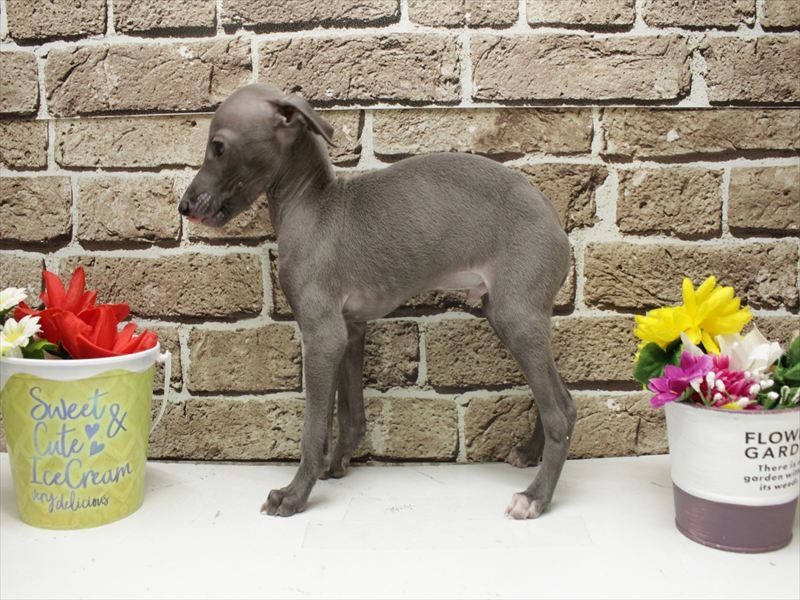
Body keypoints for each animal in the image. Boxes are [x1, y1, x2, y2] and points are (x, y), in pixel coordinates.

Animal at [179, 83, 575, 519]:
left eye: (218, 147)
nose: (184, 206)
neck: (313, 207)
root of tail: (555, 220)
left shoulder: (323, 336)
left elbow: (313, 428)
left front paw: (295, 494)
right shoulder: (350, 329)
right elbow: (351, 415)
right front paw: (337, 463)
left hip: (515, 316)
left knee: (559, 413)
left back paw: (535, 496)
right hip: (515, 314)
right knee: (565, 400)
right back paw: (530, 453)